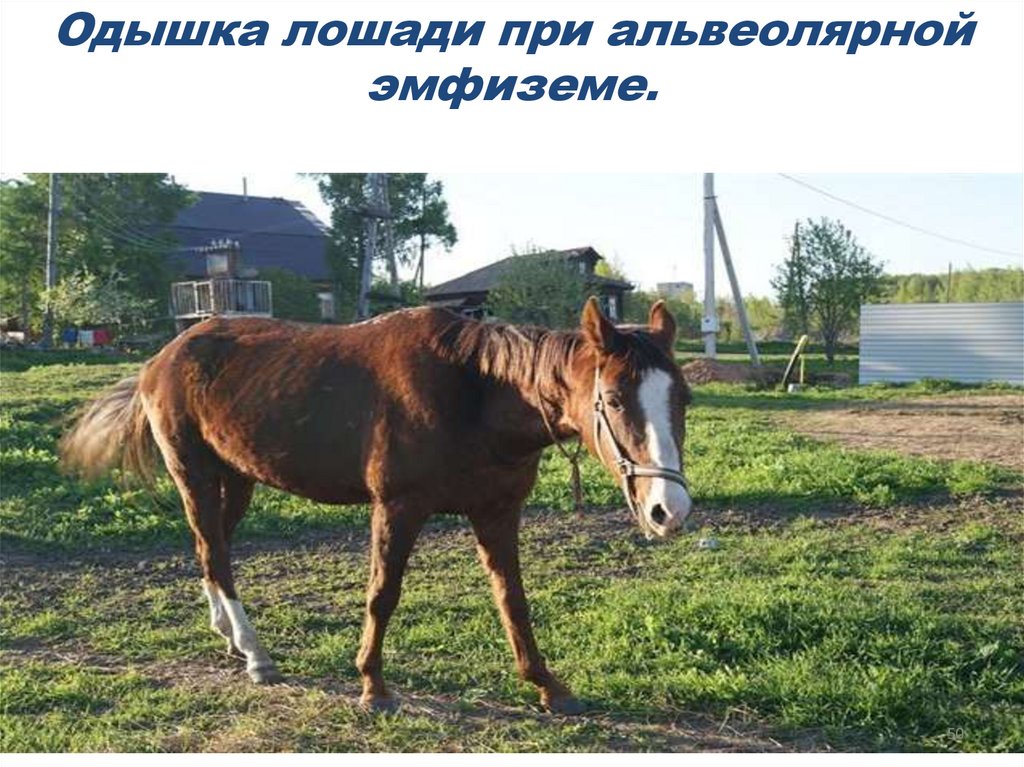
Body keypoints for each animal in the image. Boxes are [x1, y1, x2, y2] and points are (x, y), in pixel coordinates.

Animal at [60, 297, 693, 714]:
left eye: (682, 398)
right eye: (614, 399)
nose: (670, 510)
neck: (474, 391)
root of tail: (161, 357)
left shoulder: (497, 511)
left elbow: (513, 601)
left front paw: (546, 685)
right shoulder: (397, 508)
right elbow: (382, 595)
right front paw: (373, 686)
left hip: (235, 477)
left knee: (209, 548)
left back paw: (231, 636)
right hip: (193, 471)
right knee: (214, 551)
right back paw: (257, 653)